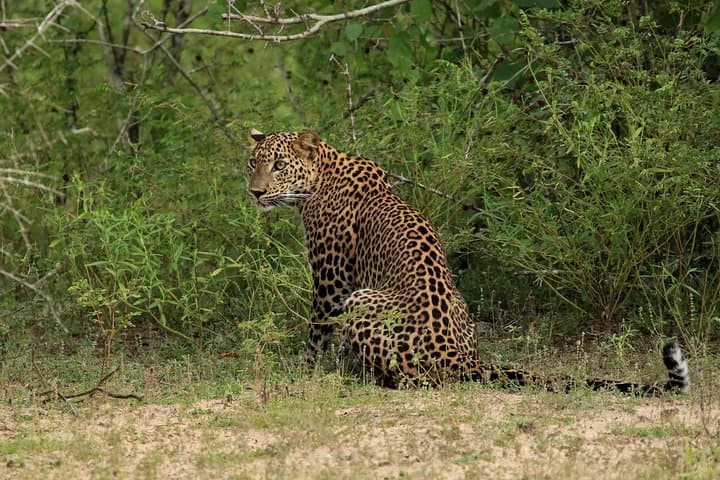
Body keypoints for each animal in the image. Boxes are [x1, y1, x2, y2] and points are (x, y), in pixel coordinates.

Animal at [246, 128, 690, 395]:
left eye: (279, 166)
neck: (321, 174)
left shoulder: (332, 280)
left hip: (364, 300)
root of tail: (457, 355)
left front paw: (305, 371)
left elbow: (317, 332)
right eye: (253, 163)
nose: (254, 192)